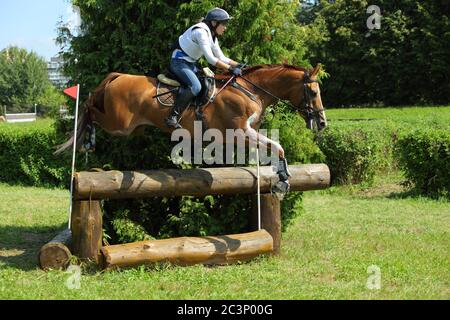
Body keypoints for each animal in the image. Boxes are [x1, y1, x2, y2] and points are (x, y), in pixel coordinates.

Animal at [56, 63, 326, 192]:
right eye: (313, 92)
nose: (322, 122)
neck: (250, 89)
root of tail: (119, 76)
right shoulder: (239, 132)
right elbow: (278, 146)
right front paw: (283, 180)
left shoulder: (245, 133)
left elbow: (273, 146)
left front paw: (280, 175)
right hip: (119, 124)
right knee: (91, 107)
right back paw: (86, 139)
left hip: (130, 127)